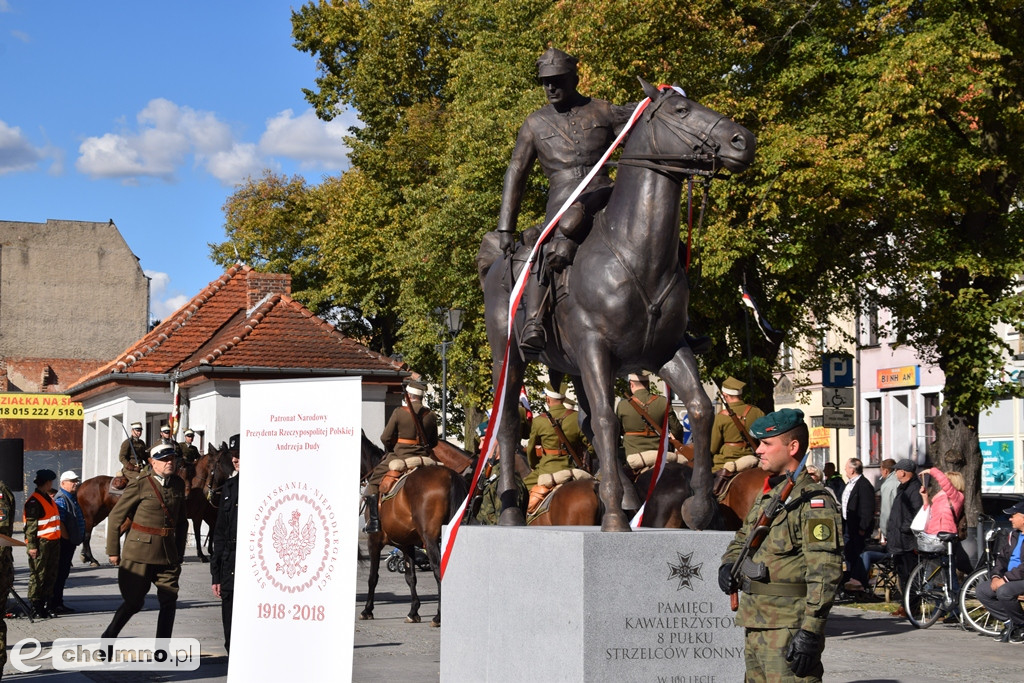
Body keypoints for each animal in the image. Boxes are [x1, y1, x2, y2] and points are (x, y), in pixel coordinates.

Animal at [360, 432, 468, 630]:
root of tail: (450, 476)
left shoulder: (374, 541)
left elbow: (373, 577)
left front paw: (367, 610)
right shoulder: (406, 544)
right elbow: (410, 577)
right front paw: (413, 612)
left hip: (431, 540)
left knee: (438, 570)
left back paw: (438, 617)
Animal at [479, 82, 753, 532]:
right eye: (681, 109)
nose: (743, 141)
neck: (637, 253)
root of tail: (494, 265)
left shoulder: (668, 350)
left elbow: (700, 407)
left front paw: (700, 507)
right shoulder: (595, 349)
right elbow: (609, 420)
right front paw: (610, 517)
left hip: (573, 366)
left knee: (588, 420)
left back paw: (627, 495)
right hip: (509, 357)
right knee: (509, 425)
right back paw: (512, 511)